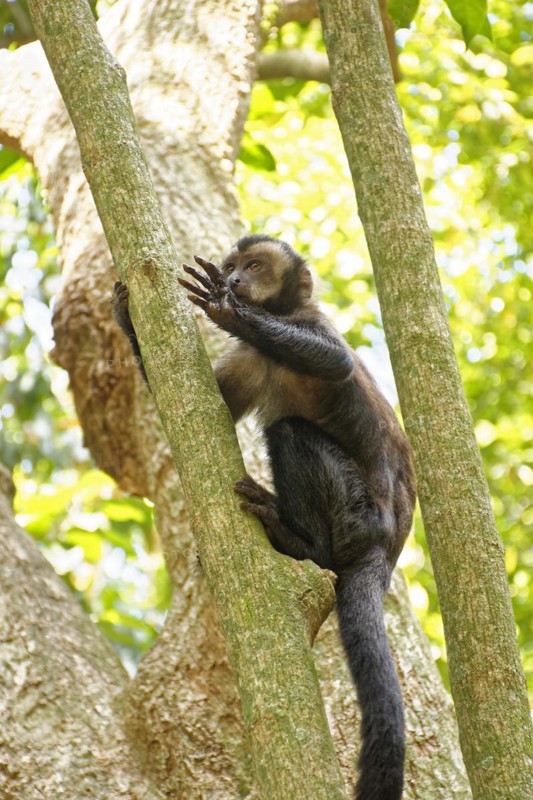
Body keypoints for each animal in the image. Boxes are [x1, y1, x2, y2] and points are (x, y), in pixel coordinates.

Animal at [111, 234, 416, 800]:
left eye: (253, 267)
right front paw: (124, 316)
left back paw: (300, 544)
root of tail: (385, 550)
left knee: (290, 432)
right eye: (234, 266)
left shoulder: (311, 321)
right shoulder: (251, 361)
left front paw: (230, 310)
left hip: (357, 516)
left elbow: (336, 363)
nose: (233, 280)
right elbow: (193, 409)